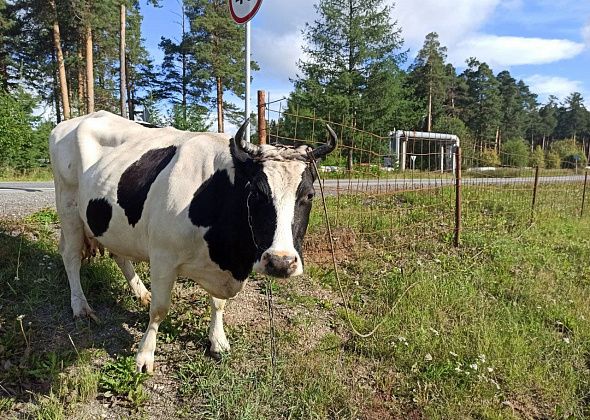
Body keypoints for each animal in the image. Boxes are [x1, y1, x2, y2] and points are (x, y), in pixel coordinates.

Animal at [49, 110, 338, 370]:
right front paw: (145, 356)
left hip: (111, 222)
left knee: (118, 254)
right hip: (67, 204)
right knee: (70, 256)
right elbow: (159, 309)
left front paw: (218, 341)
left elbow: (218, 304)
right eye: (256, 192)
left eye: (309, 195)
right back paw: (81, 307)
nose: (280, 262)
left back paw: (140, 292)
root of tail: (79, 119)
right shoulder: (163, 256)